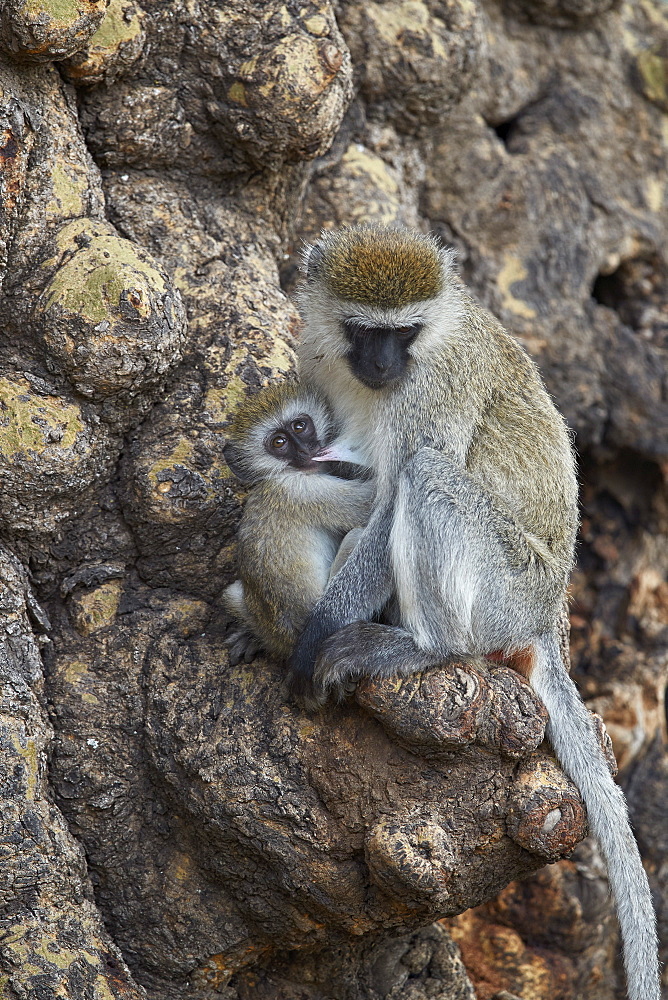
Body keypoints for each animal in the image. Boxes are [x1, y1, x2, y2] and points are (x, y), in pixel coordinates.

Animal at [222, 376, 374, 664]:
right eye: (279, 443)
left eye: (300, 426)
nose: (306, 450)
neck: (280, 474)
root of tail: (288, 643)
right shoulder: (302, 491)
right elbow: (373, 503)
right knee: (358, 535)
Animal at [290, 225, 660, 1000]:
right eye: (365, 332)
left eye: (403, 334)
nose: (381, 364)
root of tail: (545, 616)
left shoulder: (433, 389)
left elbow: (390, 501)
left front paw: (313, 640)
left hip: (502, 590)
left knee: (428, 477)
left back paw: (425, 647)